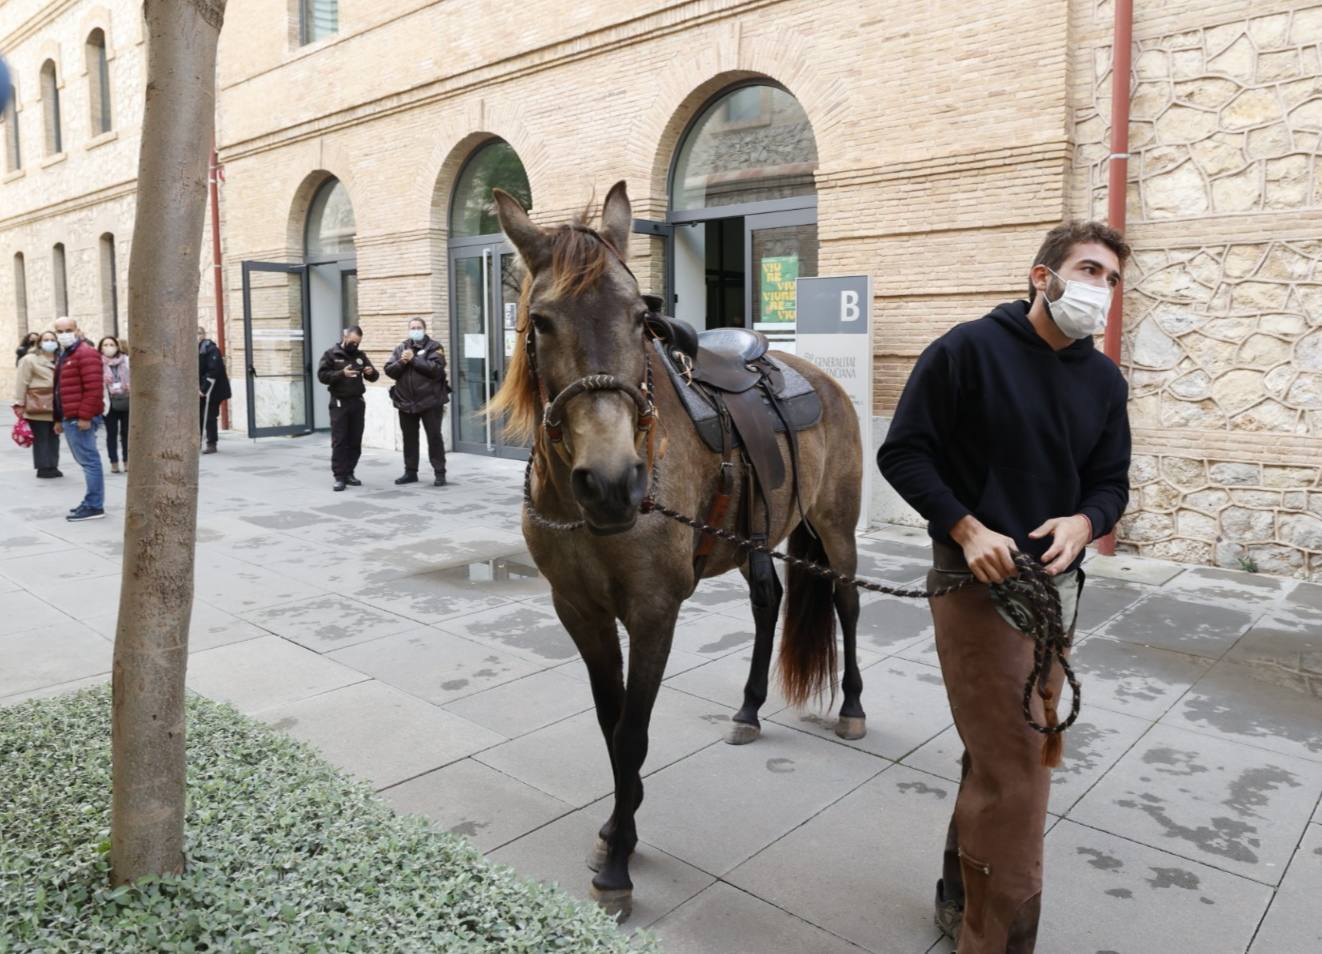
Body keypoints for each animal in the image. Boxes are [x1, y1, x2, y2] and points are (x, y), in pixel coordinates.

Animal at [486, 179, 867, 914]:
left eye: (642, 317)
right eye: (540, 321)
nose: (613, 482)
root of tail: (820, 377)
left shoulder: (654, 611)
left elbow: (633, 732)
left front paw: (618, 865)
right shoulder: (579, 611)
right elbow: (610, 728)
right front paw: (618, 830)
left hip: (835, 527)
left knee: (847, 602)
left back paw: (854, 708)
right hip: (756, 537)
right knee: (769, 601)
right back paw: (748, 707)